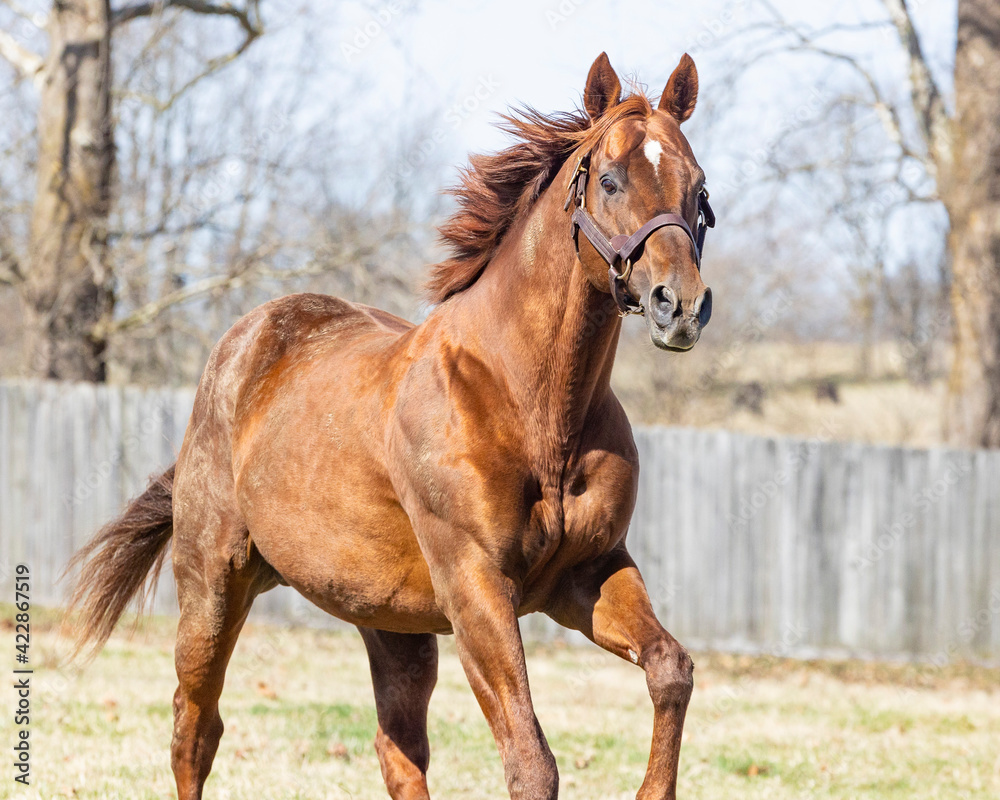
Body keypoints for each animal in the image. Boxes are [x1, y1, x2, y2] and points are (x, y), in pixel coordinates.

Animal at [67, 51, 715, 800]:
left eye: (697, 188)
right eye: (610, 181)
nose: (679, 306)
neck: (533, 409)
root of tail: (242, 345)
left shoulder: (588, 573)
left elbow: (671, 668)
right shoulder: (476, 586)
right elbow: (531, 763)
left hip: (391, 624)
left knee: (396, 750)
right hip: (213, 586)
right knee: (195, 728)